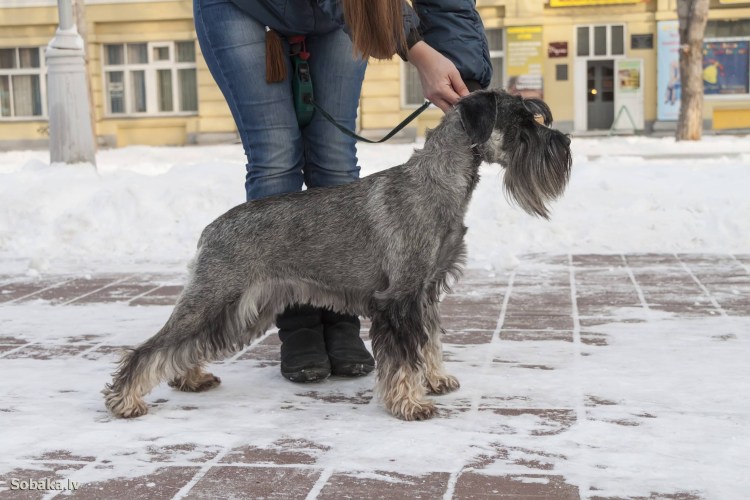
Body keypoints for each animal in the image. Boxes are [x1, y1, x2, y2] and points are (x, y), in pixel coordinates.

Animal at [103, 89, 572, 421]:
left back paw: (190, 378)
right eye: (521, 121)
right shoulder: (399, 299)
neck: (438, 183)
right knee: (154, 346)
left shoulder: (424, 292)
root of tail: (209, 230)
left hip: (238, 308)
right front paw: (411, 404)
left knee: (186, 345)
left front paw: (436, 379)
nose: (564, 141)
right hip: (216, 297)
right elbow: (404, 356)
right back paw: (126, 400)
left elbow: (430, 341)